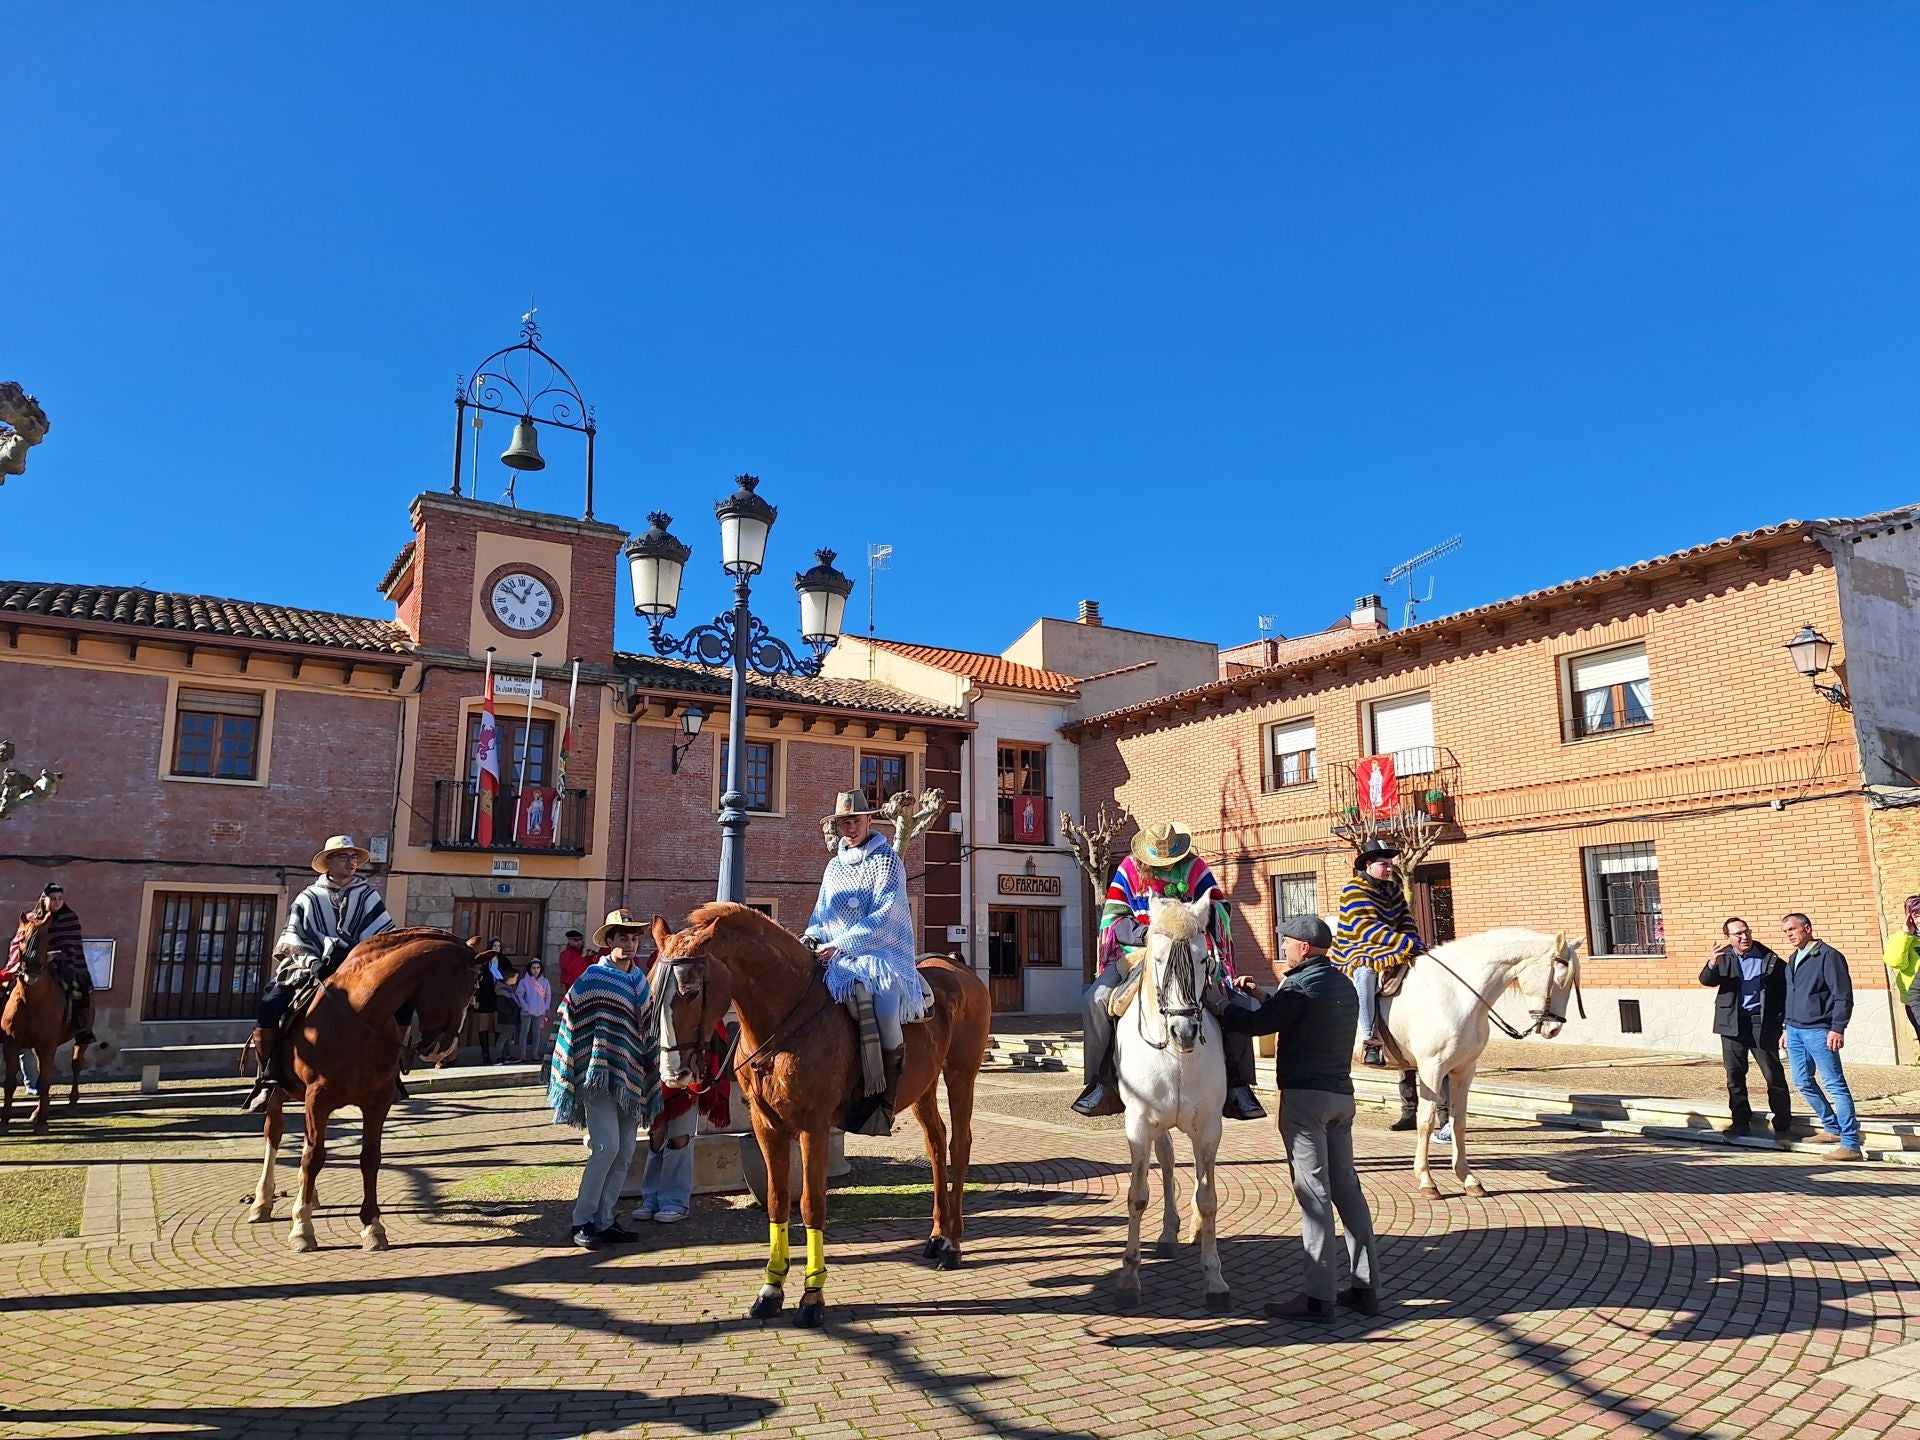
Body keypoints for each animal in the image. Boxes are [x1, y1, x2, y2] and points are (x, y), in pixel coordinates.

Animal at [0, 913, 89, 1136]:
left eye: (46, 939)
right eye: (21, 938)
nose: (31, 972)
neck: (30, 1002)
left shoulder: (47, 1045)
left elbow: (45, 1080)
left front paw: (42, 1123)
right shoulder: (11, 1044)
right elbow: (10, 1083)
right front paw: (4, 1123)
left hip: (80, 1037)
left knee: (76, 1064)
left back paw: (71, 1104)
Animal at [247, 936, 483, 1251]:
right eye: (471, 988)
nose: (443, 1051)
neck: (360, 1016)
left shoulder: (377, 1101)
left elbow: (369, 1158)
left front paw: (372, 1226)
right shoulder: (317, 1098)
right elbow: (313, 1157)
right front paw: (302, 1228)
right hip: (279, 1091)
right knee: (274, 1134)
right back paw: (263, 1201)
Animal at [656, 906, 998, 1336]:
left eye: (690, 990)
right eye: (652, 991)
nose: (673, 1072)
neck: (784, 1023)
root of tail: (958, 967)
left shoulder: (813, 1126)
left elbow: (812, 1205)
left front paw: (812, 1297)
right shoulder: (766, 1126)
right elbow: (777, 1200)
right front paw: (771, 1290)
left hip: (960, 1073)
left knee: (958, 1144)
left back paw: (952, 1245)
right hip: (923, 1085)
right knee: (936, 1144)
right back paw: (937, 1236)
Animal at [1113, 902, 1228, 1320]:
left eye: (1203, 958)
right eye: (1158, 958)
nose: (1185, 1030)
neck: (1177, 1056)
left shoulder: (1210, 1126)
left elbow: (1208, 1198)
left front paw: (1215, 1280)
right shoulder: (1138, 1125)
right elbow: (1137, 1195)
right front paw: (1129, 1279)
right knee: (1165, 1162)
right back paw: (1167, 1233)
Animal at [1390, 929, 1582, 1198]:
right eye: (1561, 978)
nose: (1554, 1029)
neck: (1454, 994)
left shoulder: (1463, 1070)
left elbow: (1458, 1121)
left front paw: (1468, 1179)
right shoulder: (1431, 1068)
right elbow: (1425, 1122)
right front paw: (1427, 1181)